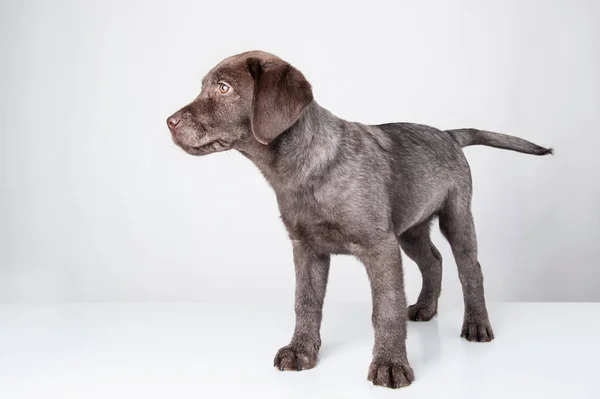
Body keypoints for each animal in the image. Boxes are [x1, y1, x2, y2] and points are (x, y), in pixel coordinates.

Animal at [166, 50, 552, 390]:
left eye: (224, 88)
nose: (169, 122)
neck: (303, 170)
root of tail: (448, 134)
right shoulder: (306, 249)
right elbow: (305, 302)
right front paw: (301, 350)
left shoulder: (380, 247)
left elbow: (386, 307)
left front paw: (390, 365)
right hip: (410, 229)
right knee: (433, 260)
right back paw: (426, 307)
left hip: (456, 217)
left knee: (470, 269)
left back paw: (476, 325)